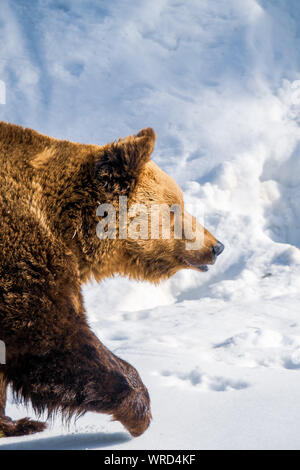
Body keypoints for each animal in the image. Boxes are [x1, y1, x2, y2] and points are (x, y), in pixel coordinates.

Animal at [0, 121, 224, 436]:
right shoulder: (23, 259)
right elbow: (54, 339)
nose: (216, 246)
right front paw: (139, 409)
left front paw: (17, 422)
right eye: (175, 206)